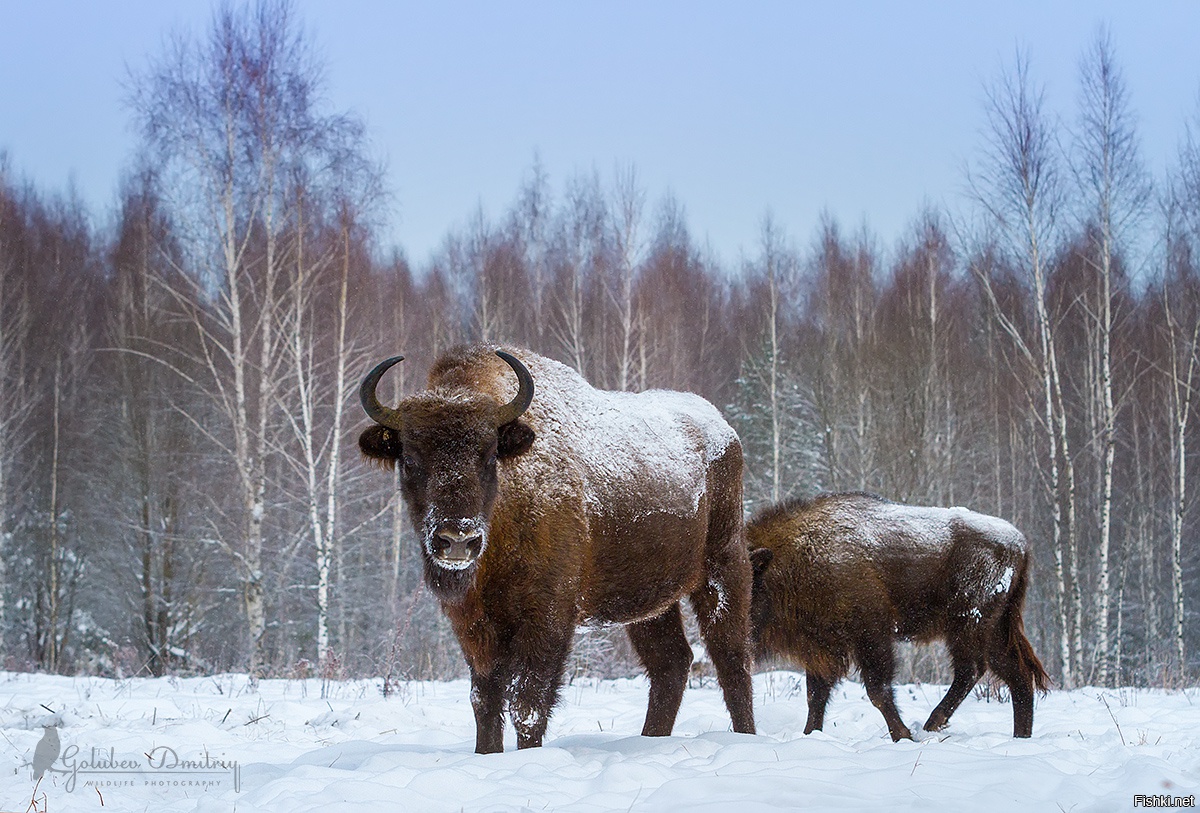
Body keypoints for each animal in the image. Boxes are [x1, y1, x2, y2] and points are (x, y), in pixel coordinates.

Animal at [355, 342, 753, 753]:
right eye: (410, 459)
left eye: (489, 455)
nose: (457, 539)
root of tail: (723, 430)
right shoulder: (473, 625)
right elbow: (485, 700)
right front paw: (487, 754)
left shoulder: (548, 616)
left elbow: (527, 703)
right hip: (651, 603)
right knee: (671, 663)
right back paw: (649, 740)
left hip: (723, 568)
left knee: (731, 659)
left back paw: (745, 736)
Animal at [748, 494, 1051, 743]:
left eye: (747, 585)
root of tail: (1020, 544)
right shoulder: (822, 648)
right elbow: (816, 695)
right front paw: (810, 734)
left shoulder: (871, 634)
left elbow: (877, 689)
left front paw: (902, 735)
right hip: (994, 630)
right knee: (1017, 675)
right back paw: (1020, 738)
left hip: (968, 624)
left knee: (972, 669)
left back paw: (932, 723)